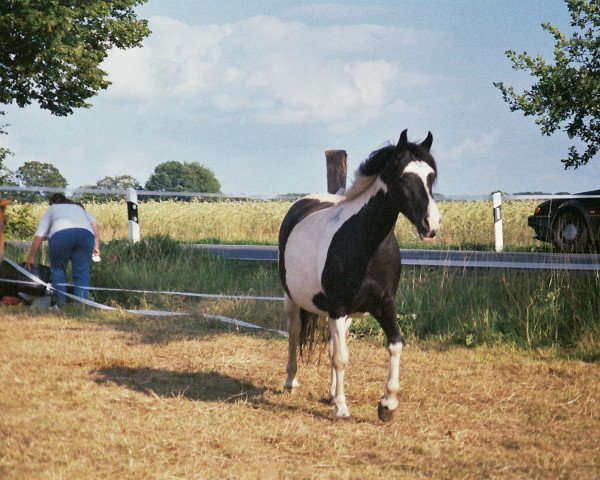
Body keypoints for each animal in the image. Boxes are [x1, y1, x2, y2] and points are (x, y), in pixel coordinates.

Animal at [278, 129, 440, 422]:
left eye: (431, 175)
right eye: (403, 177)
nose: (431, 225)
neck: (366, 244)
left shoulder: (384, 304)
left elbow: (395, 344)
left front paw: (387, 405)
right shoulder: (337, 307)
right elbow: (341, 358)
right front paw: (342, 409)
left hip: (344, 316)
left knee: (332, 345)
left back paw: (331, 393)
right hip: (292, 299)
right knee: (294, 333)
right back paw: (291, 382)